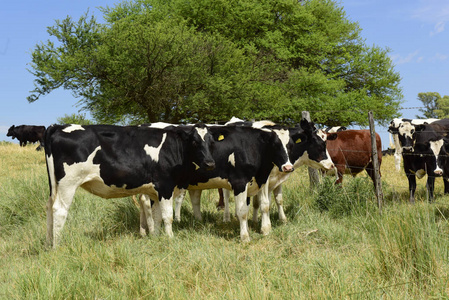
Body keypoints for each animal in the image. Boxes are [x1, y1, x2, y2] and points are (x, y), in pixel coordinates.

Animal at [44, 123, 215, 247]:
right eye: (194, 142)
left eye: (211, 142)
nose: (210, 163)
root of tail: (59, 126)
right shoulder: (165, 187)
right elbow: (168, 216)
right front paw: (170, 239)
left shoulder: (155, 191)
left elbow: (157, 216)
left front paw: (156, 238)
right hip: (68, 183)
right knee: (59, 210)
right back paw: (57, 246)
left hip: (54, 187)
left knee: (49, 208)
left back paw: (49, 244)